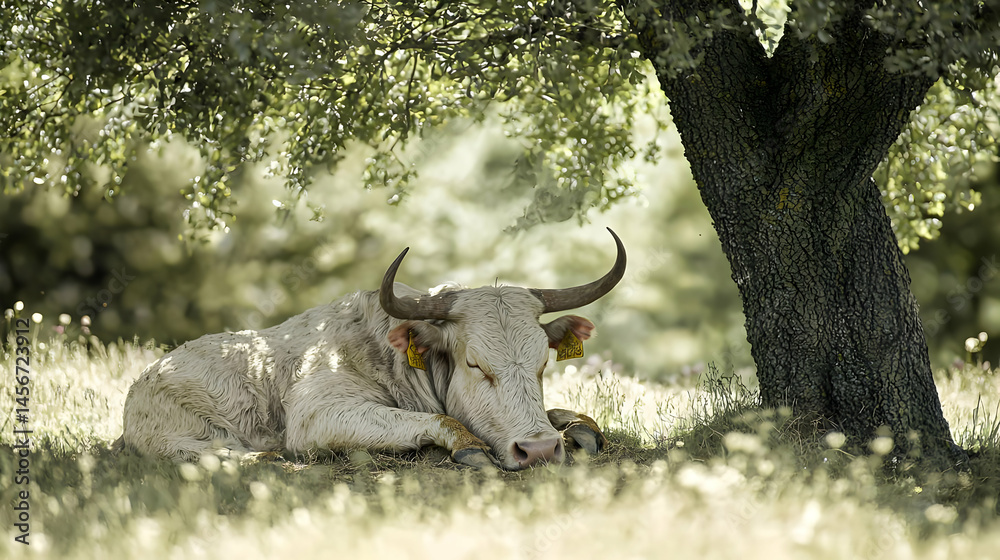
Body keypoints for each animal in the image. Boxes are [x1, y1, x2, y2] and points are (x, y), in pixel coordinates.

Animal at [116, 228, 626, 470]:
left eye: (542, 364)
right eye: (475, 364)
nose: (538, 451)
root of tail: (150, 373)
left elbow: (568, 414)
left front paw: (576, 429)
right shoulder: (319, 415)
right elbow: (445, 421)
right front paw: (469, 447)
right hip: (181, 440)